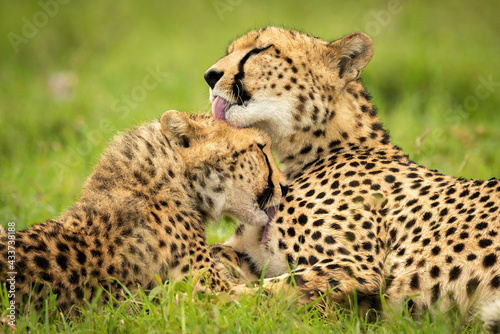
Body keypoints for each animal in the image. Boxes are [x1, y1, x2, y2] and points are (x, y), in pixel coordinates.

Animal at [203, 27, 500, 324]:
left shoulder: (356, 268)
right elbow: (214, 255)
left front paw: (202, 300)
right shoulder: (251, 253)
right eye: (230, 51)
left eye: (260, 50)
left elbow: (248, 293)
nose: (210, 75)